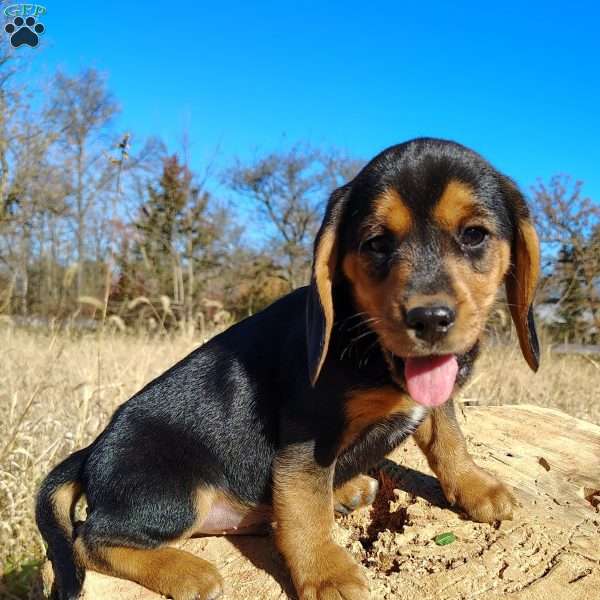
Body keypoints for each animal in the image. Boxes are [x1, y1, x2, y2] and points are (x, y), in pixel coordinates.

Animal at [39, 138, 540, 600]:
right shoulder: (306, 436)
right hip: (174, 494)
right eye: (376, 243)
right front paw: (328, 574)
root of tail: (91, 451)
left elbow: (448, 437)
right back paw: (189, 573)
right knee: (89, 538)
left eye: (474, 235)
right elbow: (304, 512)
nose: (429, 319)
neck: (369, 344)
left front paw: (477, 487)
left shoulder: (433, 396)